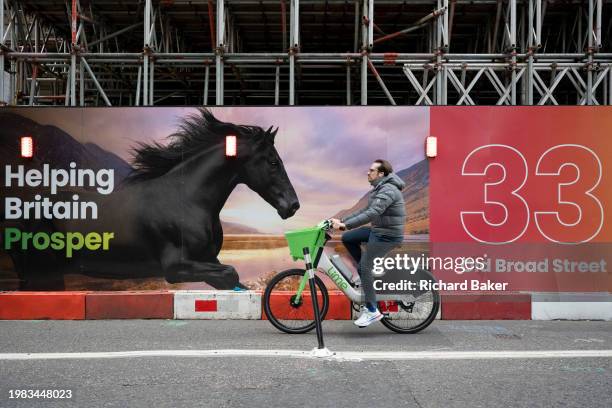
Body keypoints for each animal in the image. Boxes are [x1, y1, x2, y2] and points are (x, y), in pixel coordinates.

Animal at [7, 107, 298, 288]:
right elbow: (231, 274)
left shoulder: (209, 261)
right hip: (41, 273)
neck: (186, 201)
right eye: (273, 161)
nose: (293, 205)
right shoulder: (176, 268)